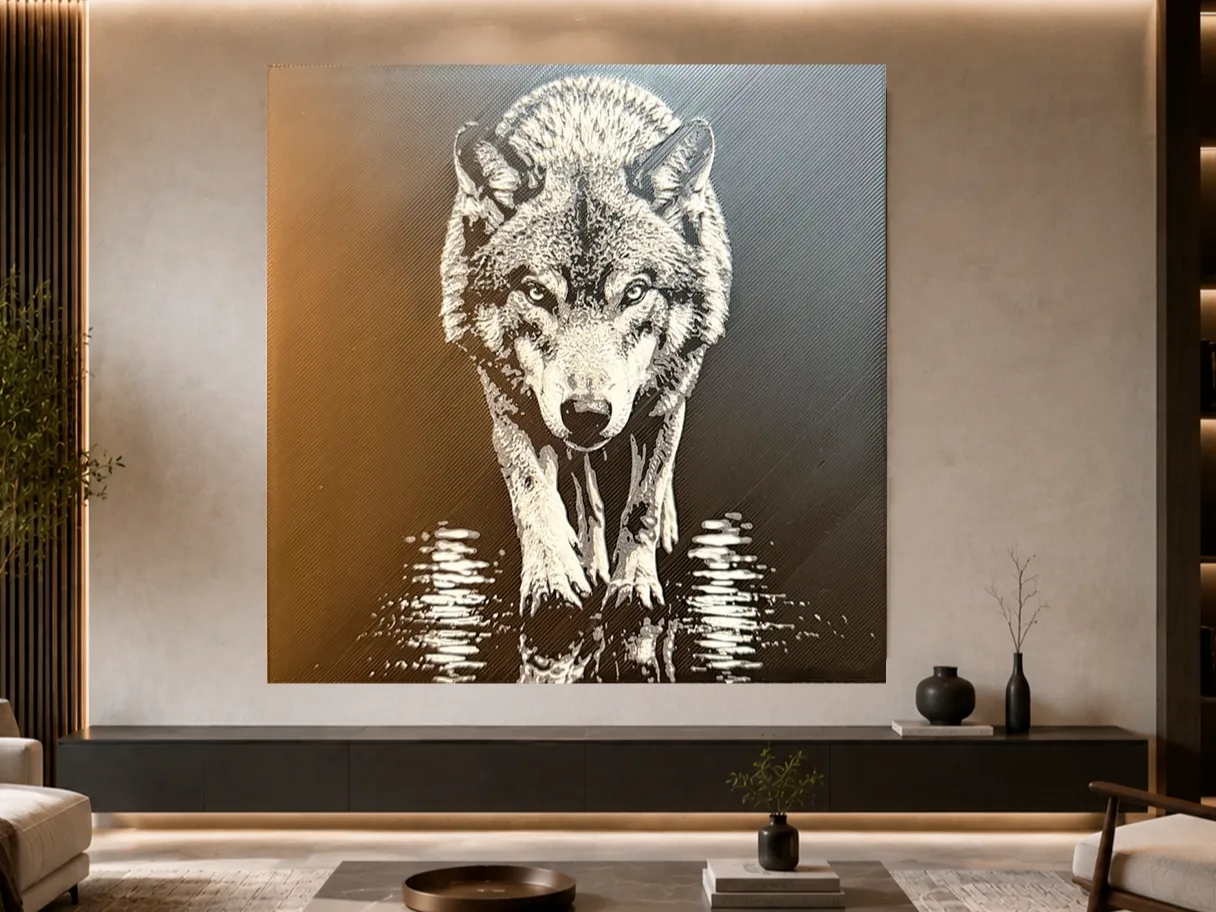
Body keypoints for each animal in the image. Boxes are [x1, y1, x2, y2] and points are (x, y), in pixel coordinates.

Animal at [440, 75, 732, 616]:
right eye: (536, 293)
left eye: (634, 292)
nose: (587, 413)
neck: (583, 142)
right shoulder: (509, 410)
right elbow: (535, 496)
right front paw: (553, 579)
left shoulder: (664, 406)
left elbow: (642, 503)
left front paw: (633, 586)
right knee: (582, 488)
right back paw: (587, 556)